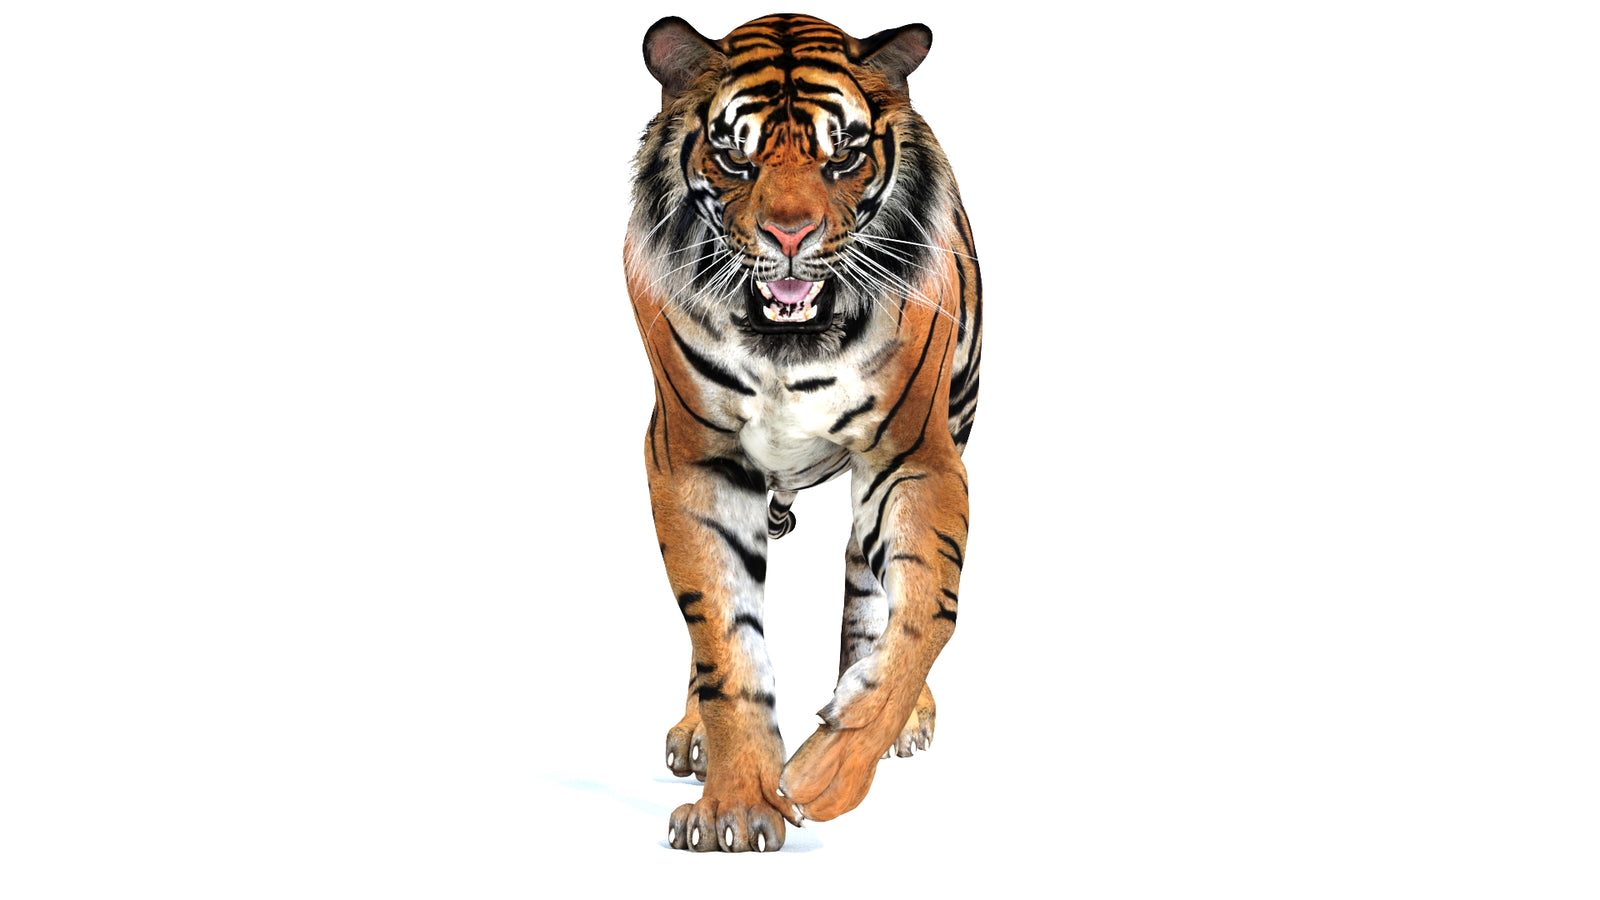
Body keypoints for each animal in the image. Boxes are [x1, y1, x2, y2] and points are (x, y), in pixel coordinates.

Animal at [624, 13, 982, 852]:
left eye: (841, 157)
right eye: (735, 157)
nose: (791, 235)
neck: (789, 342)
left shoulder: (915, 456)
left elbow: (925, 610)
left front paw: (825, 773)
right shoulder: (692, 460)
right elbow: (724, 642)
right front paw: (736, 806)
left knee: (870, 591)